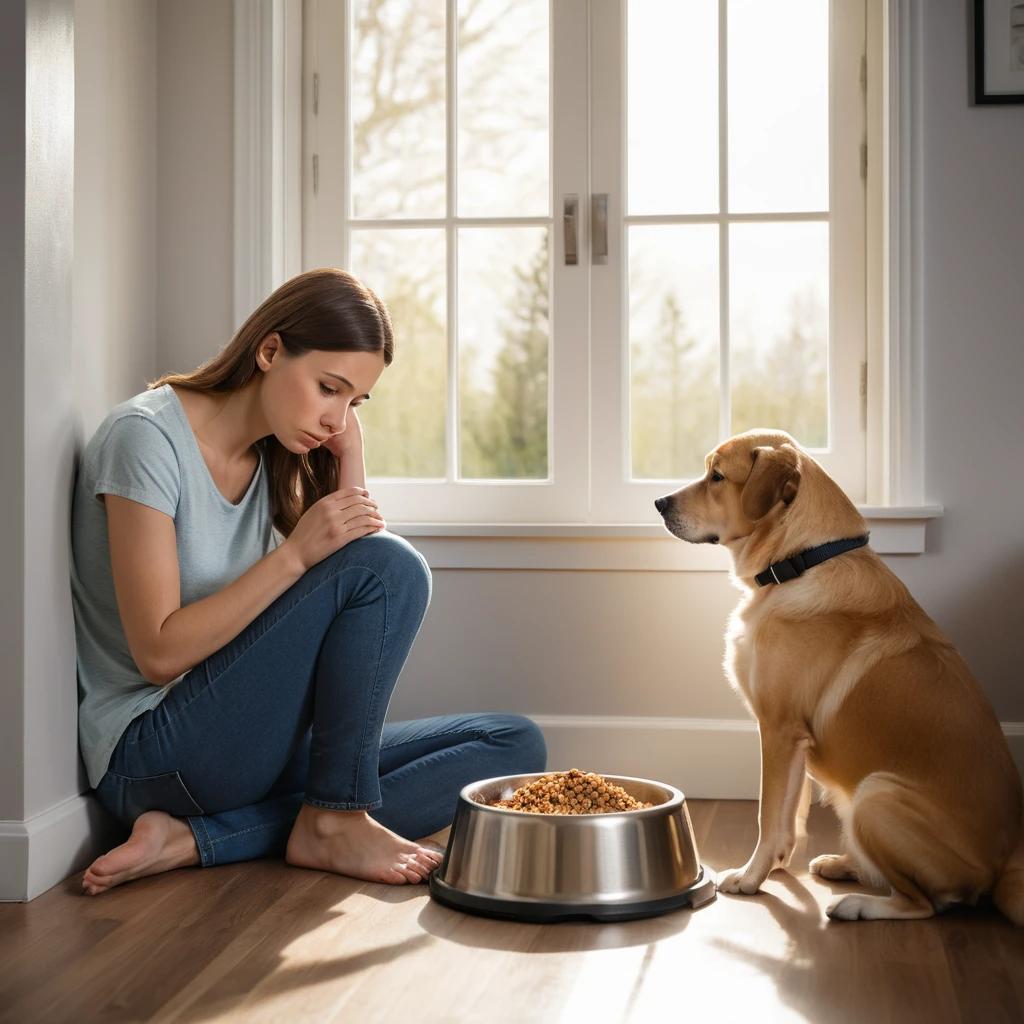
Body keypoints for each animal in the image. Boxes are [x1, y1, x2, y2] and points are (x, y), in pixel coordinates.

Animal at [655, 428, 1024, 925]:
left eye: (716, 476)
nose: (659, 502)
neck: (799, 562)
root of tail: (1004, 867)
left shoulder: (778, 729)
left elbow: (768, 815)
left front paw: (750, 878)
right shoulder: (793, 741)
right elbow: (790, 815)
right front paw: (775, 869)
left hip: (875, 795)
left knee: (925, 904)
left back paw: (859, 904)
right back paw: (844, 864)